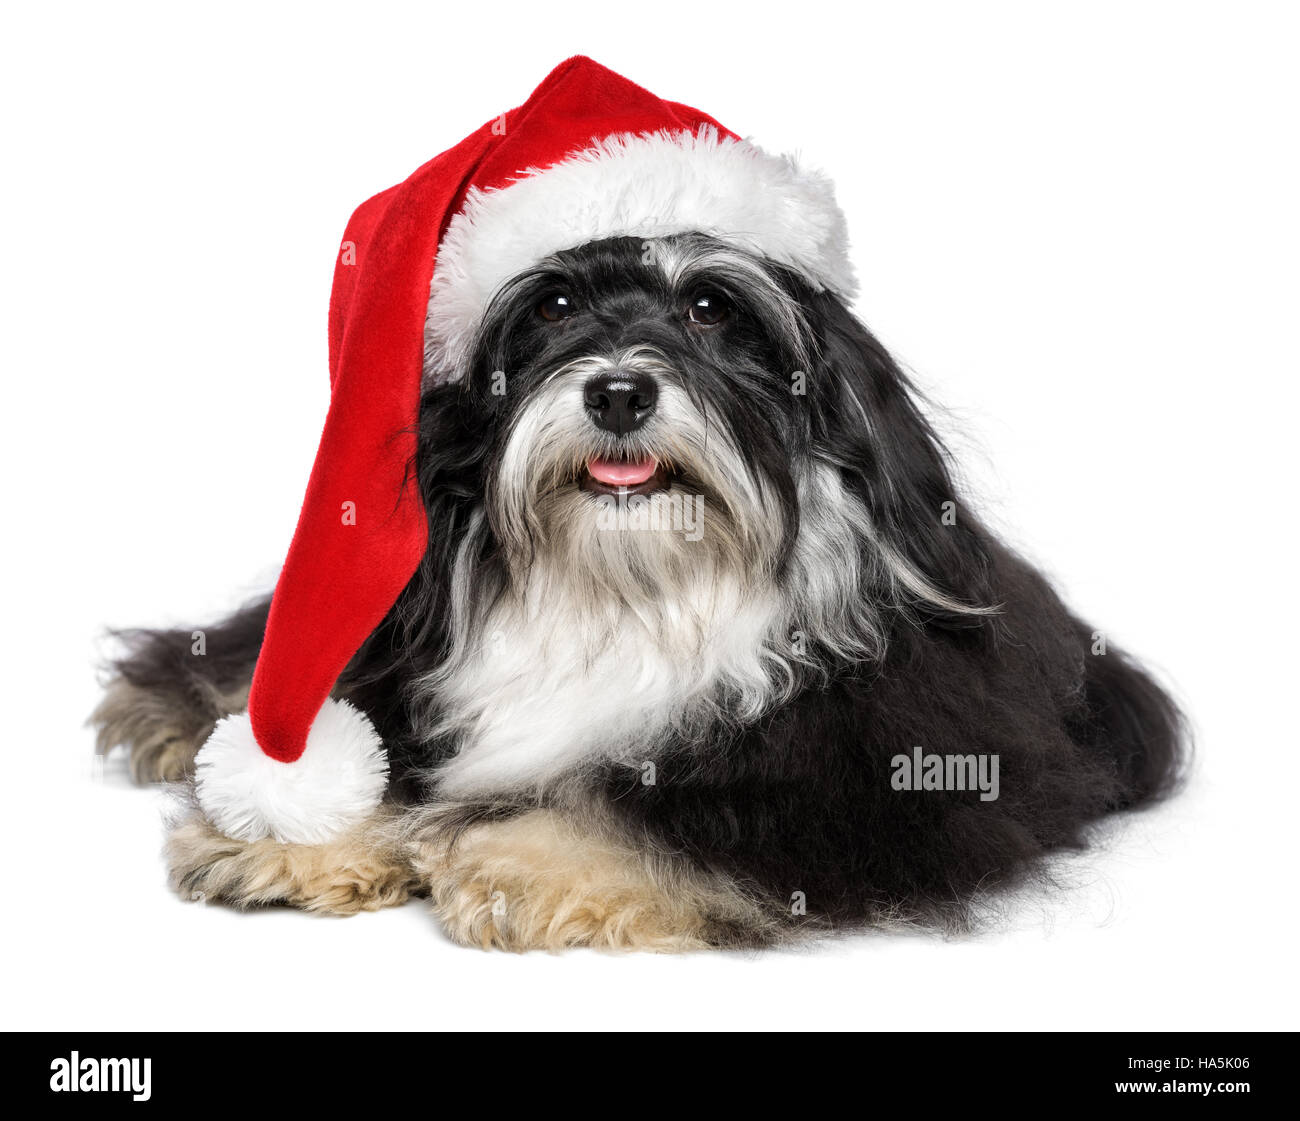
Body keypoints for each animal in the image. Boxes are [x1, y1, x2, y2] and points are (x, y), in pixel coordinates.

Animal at [94, 223, 1190, 951]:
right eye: (552, 306)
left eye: (711, 308)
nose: (618, 391)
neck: (630, 588)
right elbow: (374, 736)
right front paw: (301, 833)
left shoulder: (876, 783)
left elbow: (669, 815)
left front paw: (521, 857)